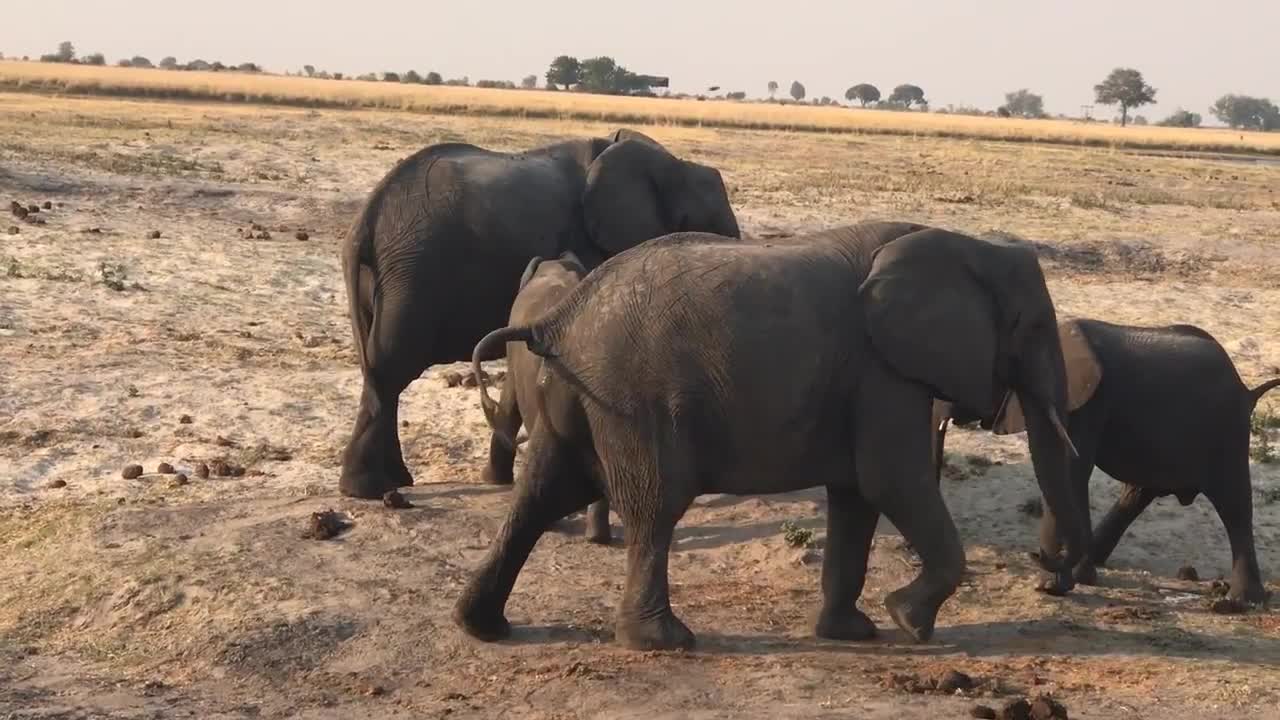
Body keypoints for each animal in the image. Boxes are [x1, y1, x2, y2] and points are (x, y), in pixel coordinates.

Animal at [337, 128, 742, 497]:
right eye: (699, 221)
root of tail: (365, 221)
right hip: (413, 275)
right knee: (391, 369)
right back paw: (370, 489)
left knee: (380, 371)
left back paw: (392, 483)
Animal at [460, 222, 1090, 650]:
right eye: (1033, 326)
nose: (1050, 573)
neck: (965, 245)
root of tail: (559, 320)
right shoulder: (883, 373)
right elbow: (892, 482)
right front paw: (907, 621)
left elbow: (858, 497)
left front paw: (853, 633)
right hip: (632, 398)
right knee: (654, 507)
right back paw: (666, 642)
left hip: (582, 396)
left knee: (543, 494)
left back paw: (481, 626)